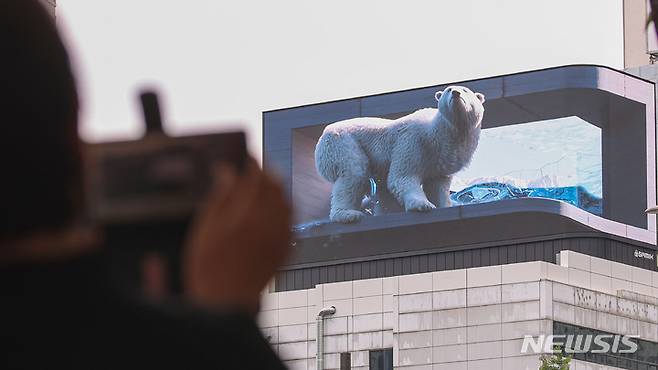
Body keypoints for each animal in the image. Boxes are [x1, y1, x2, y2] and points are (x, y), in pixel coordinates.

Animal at [316, 86, 484, 223]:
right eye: (448, 90)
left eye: (465, 90)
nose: (455, 93)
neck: (437, 134)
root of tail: (323, 134)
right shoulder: (412, 141)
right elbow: (403, 177)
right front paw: (422, 205)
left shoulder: (441, 158)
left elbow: (437, 185)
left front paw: (444, 205)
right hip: (342, 143)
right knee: (353, 174)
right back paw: (348, 214)